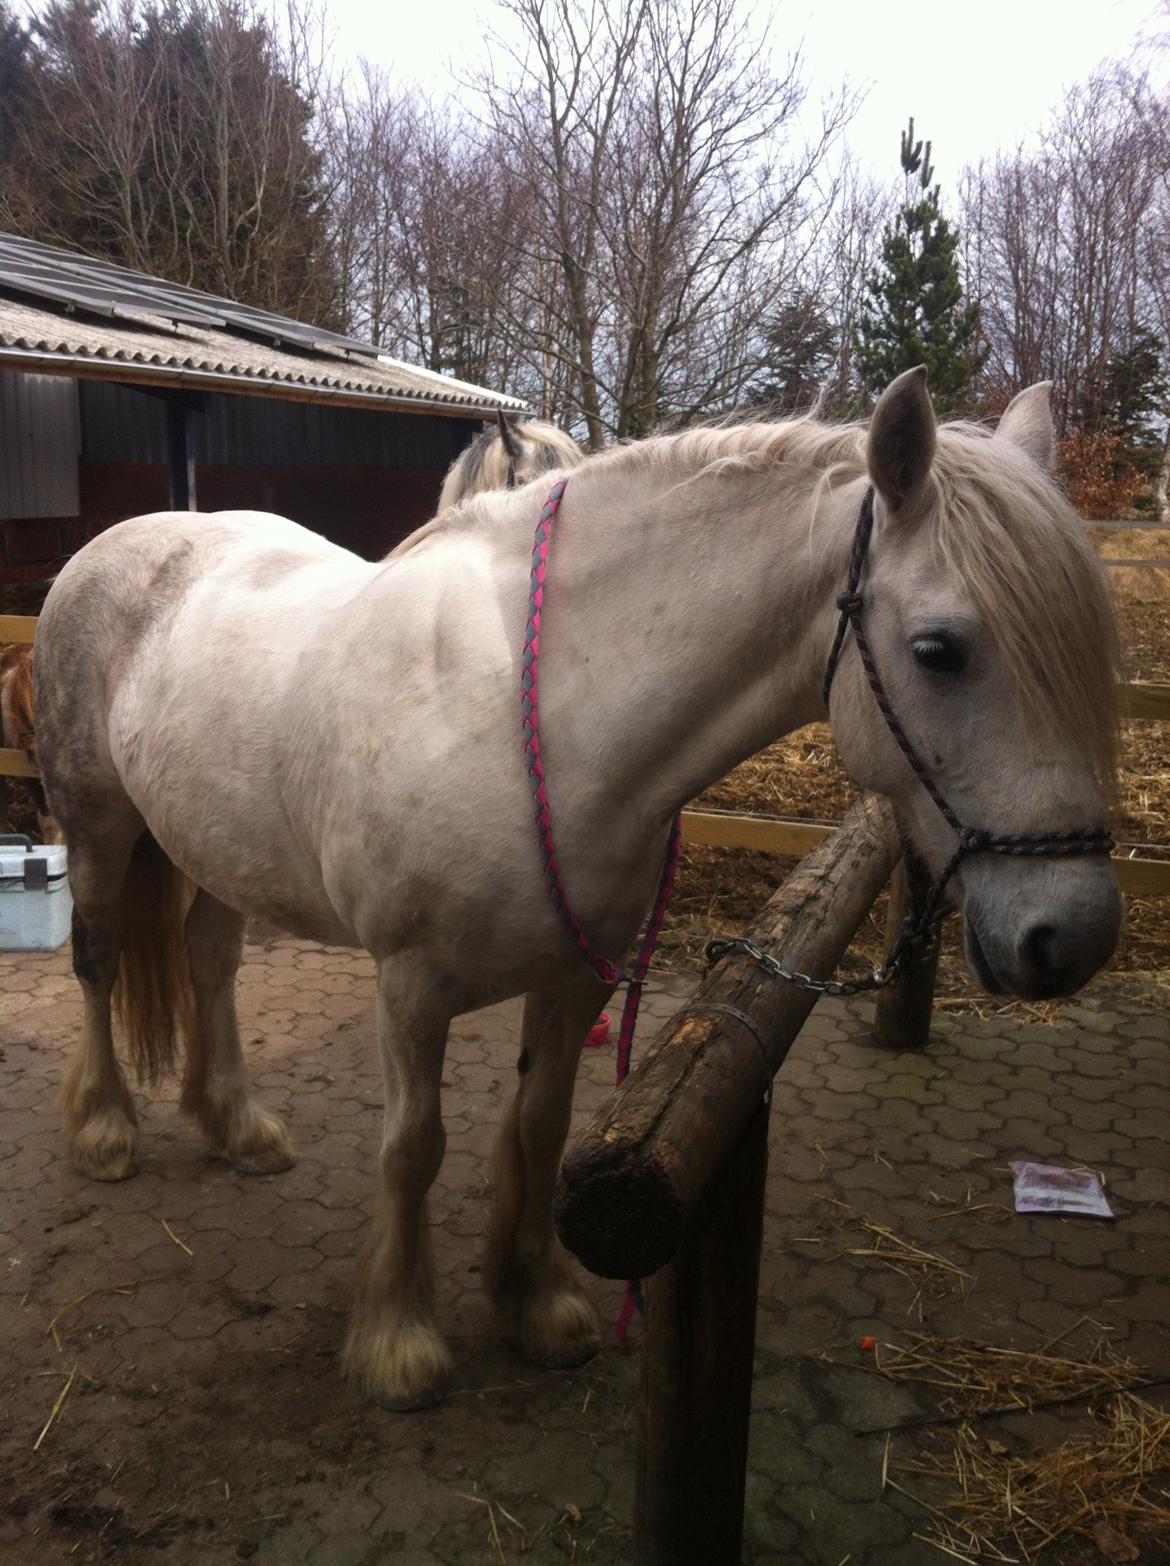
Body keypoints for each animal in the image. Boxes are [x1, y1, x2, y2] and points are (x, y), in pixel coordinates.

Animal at [36, 372, 1127, 1415]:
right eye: (941, 649)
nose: (1072, 937)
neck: (550, 716)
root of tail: (117, 546)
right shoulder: (411, 986)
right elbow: (412, 1148)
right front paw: (398, 1343)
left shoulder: (575, 976)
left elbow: (541, 1127)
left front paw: (536, 1304)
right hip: (98, 826)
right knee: (97, 963)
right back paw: (104, 1130)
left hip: (220, 851)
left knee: (209, 964)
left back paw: (236, 1125)